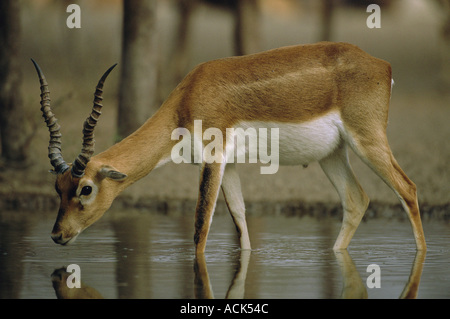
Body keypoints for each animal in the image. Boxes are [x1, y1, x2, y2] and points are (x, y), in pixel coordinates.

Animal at [33, 42, 428, 254]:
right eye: (57, 188)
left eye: (85, 189)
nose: (56, 235)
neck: (188, 99)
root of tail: (382, 65)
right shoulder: (230, 164)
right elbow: (239, 219)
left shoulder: (213, 158)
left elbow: (201, 226)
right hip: (333, 154)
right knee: (357, 199)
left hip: (368, 140)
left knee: (407, 188)